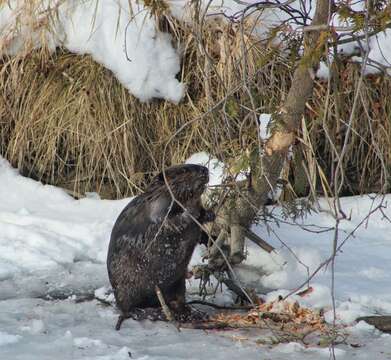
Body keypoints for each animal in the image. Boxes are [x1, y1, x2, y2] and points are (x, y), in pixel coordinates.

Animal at [106, 163, 214, 330]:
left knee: (177, 301)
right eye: (184, 170)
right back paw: (151, 312)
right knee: (128, 308)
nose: (204, 170)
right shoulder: (157, 207)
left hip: (177, 283)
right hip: (127, 287)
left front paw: (209, 214)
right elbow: (169, 222)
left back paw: (192, 312)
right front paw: (191, 210)